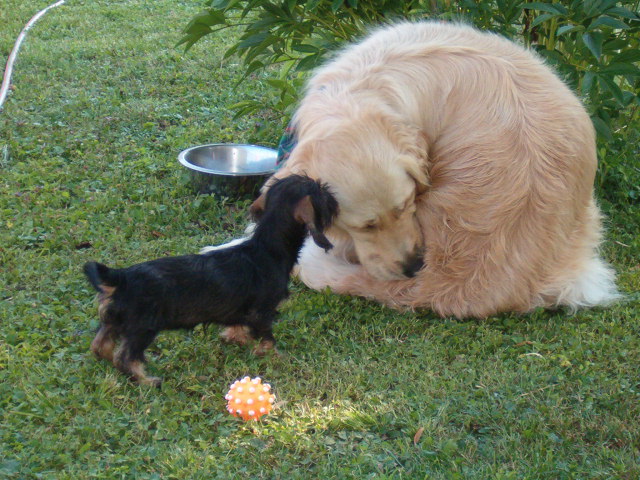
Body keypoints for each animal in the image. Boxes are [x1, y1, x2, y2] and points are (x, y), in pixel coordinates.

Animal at [84, 176, 340, 386]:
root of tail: (122, 277)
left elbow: (238, 327)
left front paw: (236, 339)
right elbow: (267, 337)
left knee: (100, 344)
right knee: (125, 357)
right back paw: (146, 380)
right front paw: (274, 356)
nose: (334, 198)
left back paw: (105, 360)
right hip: (143, 328)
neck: (267, 248)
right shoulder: (262, 312)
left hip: (115, 320)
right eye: (320, 192)